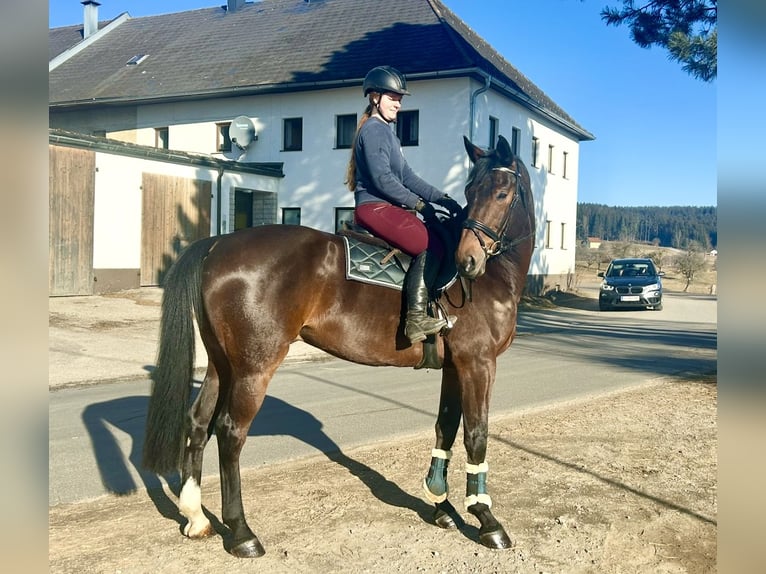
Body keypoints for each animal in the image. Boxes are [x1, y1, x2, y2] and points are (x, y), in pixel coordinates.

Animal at [146, 135, 540, 560]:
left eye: (501, 193)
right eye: (472, 192)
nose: (467, 260)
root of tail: (218, 242)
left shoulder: (455, 367)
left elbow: (445, 428)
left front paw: (442, 506)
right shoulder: (478, 364)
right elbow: (476, 434)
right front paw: (486, 519)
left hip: (223, 364)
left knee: (198, 422)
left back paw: (195, 516)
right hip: (254, 368)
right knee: (231, 432)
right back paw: (241, 532)